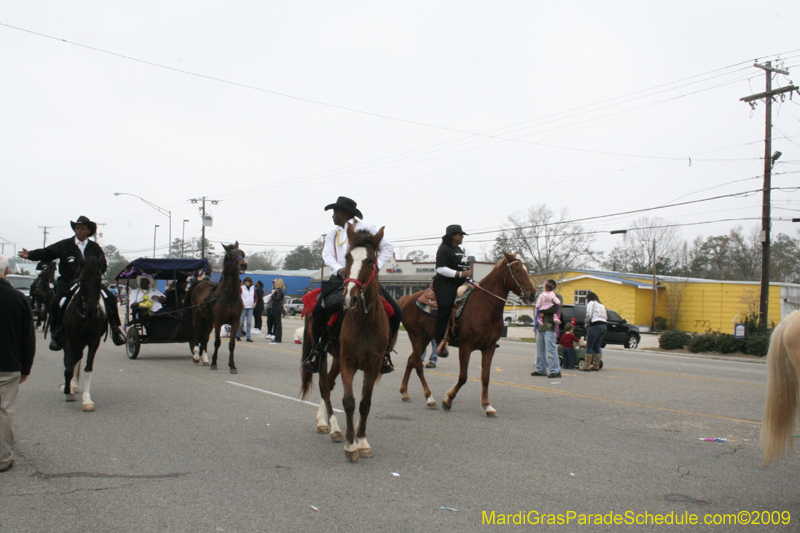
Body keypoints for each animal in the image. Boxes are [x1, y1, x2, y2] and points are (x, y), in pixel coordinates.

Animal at [60, 256, 107, 410]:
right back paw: (71, 386)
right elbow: (68, 366)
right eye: (82, 280)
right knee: (72, 360)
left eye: (99, 280)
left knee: (77, 358)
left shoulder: (94, 341)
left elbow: (87, 369)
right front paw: (68, 391)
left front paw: (87, 400)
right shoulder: (69, 339)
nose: (92, 310)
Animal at [191, 242, 247, 372]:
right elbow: (217, 342)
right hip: (197, 315)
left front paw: (232, 365)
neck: (230, 295)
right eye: (231, 254)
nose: (243, 265)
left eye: (242, 253)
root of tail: (200, 283)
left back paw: (205, 358)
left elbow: (232, 344)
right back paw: (196, 355)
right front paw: (214, 362)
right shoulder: (218, 321)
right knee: (196, 332)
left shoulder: (235, 321)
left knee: (205, 337)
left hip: (208, 320)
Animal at [396, 251, 536, 418]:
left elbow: (485, 377)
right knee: (417, 364)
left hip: (425, 338)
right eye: (516, 270)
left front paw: (487, 406)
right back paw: (429, 398)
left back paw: (404, 393)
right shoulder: (465, 346)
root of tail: (407, 298)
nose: (533, 294)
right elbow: (463, 377)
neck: (485, 306)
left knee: (411, 361)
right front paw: (448, 400)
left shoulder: (489, 348)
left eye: (527, 270)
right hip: (416, 336)